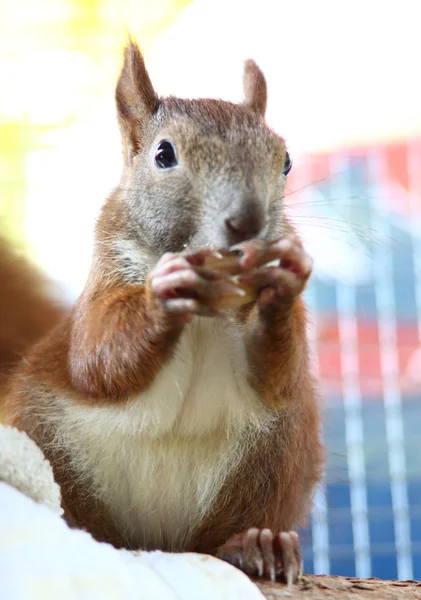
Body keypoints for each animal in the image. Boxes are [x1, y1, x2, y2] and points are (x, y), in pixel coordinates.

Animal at [4, 39, 322, 584]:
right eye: (164, 154)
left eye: (284, 161)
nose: (247, 222)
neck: (207, 312)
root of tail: (159, 542)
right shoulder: (104, 279)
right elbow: (95, 356)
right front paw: (163, 294)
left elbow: (280, 373)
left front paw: (282, 286)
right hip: (43, 434)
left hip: (277, 456)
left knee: (223, 536)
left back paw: (255, 543)